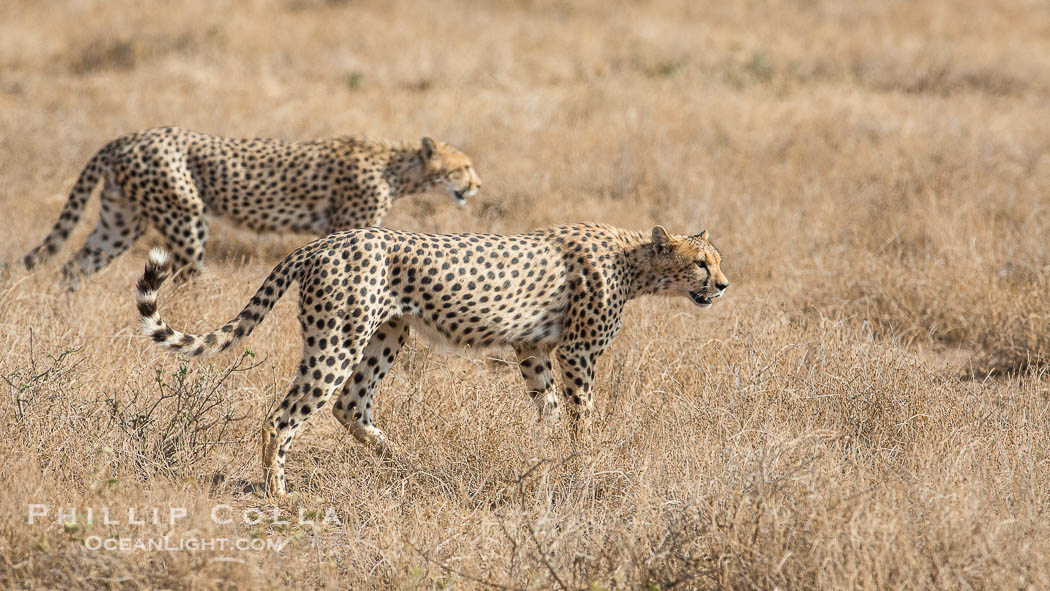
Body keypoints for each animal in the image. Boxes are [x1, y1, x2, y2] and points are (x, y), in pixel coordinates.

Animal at [16, 126, 480, 288]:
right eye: (463, 167)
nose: (476, 186)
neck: (396, 166)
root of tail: (128, 137)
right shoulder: (350, 226)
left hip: (119, 223)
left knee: (72, 268)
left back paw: (62, 311)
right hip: (185, 216)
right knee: (187, 276)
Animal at [135, 222, 729, 496]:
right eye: (701, 263)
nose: (723, 285)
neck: (634, 260)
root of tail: (328, 239)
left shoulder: (532, 349)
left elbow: (548, 410)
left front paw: (544, 453)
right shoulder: (577, 352)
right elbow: (582, 414)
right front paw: (584, 461)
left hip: (385, 335)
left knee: (350, 405)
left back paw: (409, 464)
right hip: (338, 340)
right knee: (283, 416)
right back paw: (279, 493)